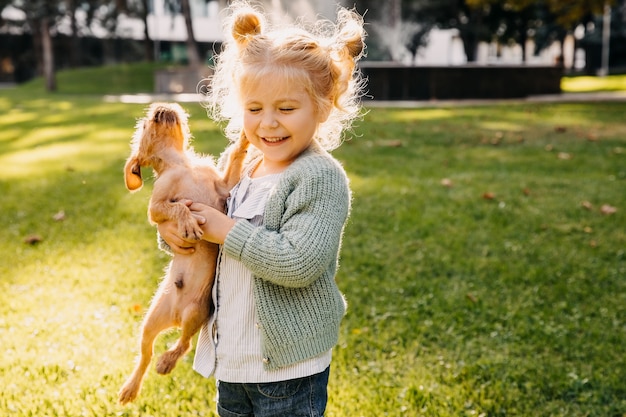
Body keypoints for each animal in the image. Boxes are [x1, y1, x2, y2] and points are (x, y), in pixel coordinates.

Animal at [118, 101, 247, 404]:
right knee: (147, 355)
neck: (183, 163)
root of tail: (174, 316)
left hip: (195, 312)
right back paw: (134, 385)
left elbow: (236, 157)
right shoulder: (155, 208)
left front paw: (245, 137)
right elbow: (177, 207)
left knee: (184, 343)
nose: (160, 105)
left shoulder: (224, 185)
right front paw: (188, 223)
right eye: (145, 124)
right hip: (149, 323)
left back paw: (165, 362)